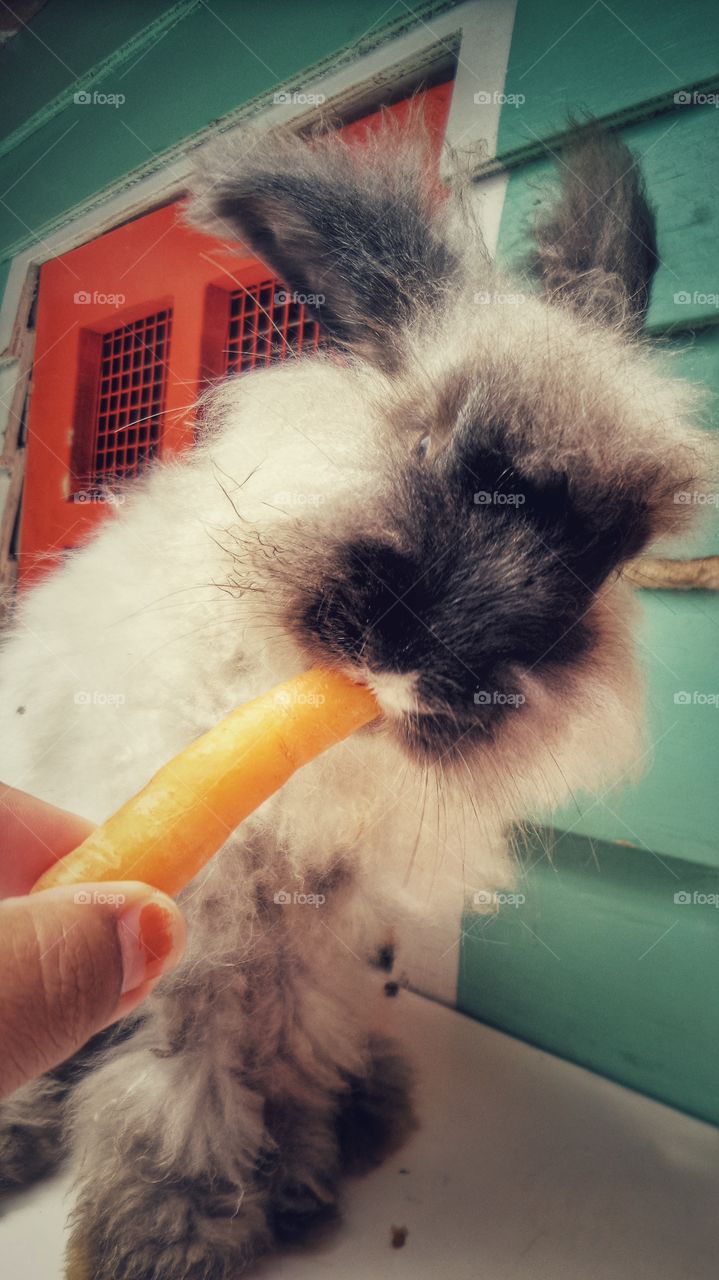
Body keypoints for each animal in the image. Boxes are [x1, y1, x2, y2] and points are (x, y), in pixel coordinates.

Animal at [0, 112, 706, 1280]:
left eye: (609, 553)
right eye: (430, 448)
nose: (443, 656)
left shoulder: (306, 914)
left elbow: (281, 1026)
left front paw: (296, 1168)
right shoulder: (202, 899)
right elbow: (187, 1053)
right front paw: (176, 1230)